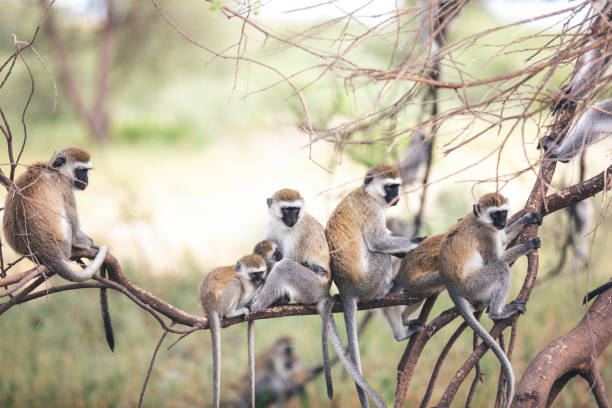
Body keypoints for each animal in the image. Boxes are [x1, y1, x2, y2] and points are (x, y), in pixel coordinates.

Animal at [200, 253, 266, 408]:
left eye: (260, 272)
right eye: (254, 274)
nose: (259, 280)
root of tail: (209, 306)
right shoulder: (244, 283)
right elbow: (241, 290)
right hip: (221, 301)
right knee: (235, 283)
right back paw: (232, 313)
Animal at [250, 188, 384, 408]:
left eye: (295, 210)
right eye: (286, 209)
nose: (292, 218)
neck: (284, 227)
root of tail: (323, 293)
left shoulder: (301, 234)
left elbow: (289, 260)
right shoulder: (271, 230)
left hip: (310, 286)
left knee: (285, 267)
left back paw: (260, 304)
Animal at [440, 192, 540, 408]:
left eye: (504, 213)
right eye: (495, 214)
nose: (502, 222)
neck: (480, 221)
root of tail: (452, 288)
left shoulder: (495, 231)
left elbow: (504, 238)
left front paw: (528, 217)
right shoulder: (486, 234)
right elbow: (497, 260)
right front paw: (528, 245)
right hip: (474, 284)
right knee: (501, 269)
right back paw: (497, 312)